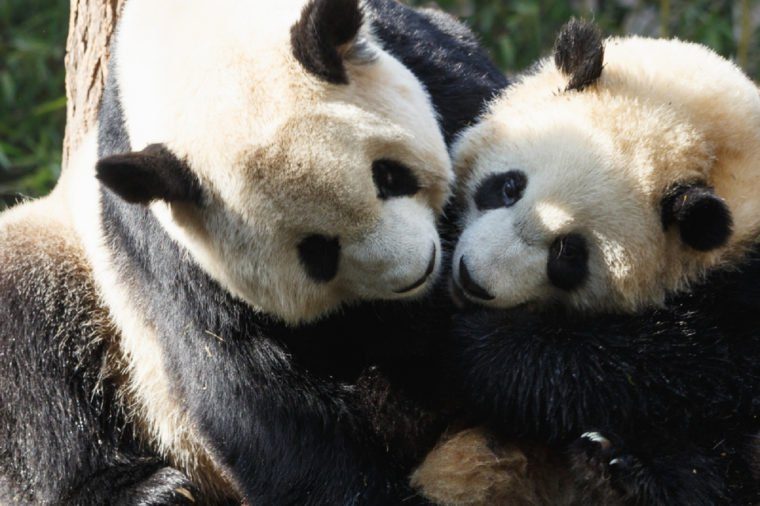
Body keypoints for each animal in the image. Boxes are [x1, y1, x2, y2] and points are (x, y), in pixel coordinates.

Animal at [1, 0, 510, 502]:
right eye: (317, 253)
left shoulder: (433, 62)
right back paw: (147, 489)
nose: (418, 269)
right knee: (31, 357)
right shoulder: (169, 250)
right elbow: (249, 397)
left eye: (388, 175)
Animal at [412, 18, 760, 506]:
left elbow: (671, 364)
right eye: (508, 187)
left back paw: (617, 471)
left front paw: (477, 345)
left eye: (568, 254)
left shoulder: (739, 298)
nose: (472, 278)